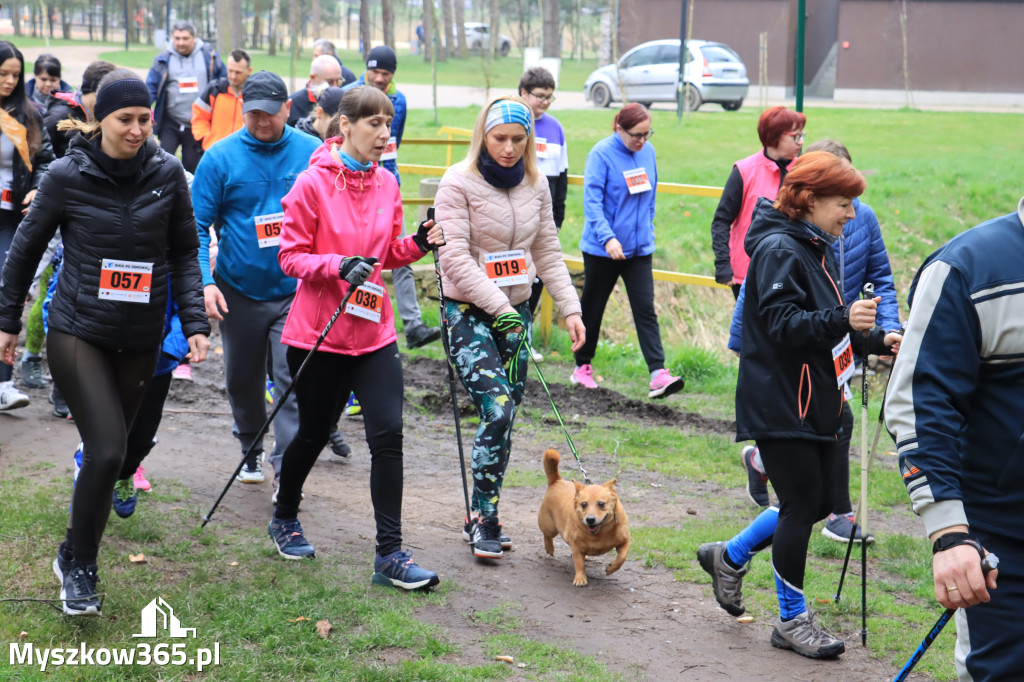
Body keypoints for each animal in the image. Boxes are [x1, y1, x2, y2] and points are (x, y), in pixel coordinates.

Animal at [536, 446, 630, 585]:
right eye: (584, 504)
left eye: (601, 504)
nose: (590, 519)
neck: (600, 533)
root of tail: (557, 481)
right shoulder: (576, 547)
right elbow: (579, 563)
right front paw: (580, 578)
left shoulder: (625, 541)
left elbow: (622, 557)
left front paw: (612, 568)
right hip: (550, 526)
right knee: (547, 535)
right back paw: (549, 547)